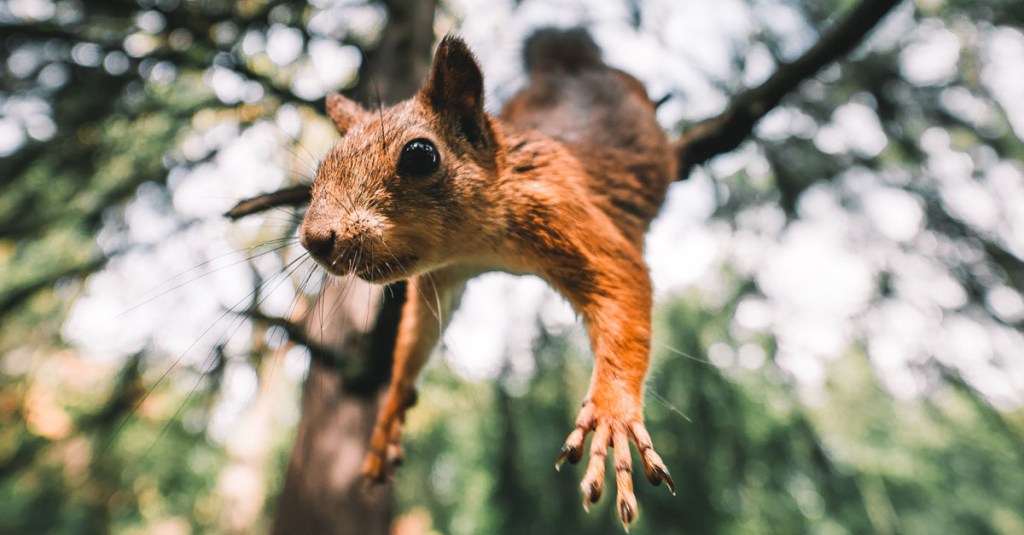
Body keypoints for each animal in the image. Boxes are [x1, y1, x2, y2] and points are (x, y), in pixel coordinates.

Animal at [299, 28, 675, 524]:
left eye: (420, 155)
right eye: (322, 167)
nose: (314, 239)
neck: (476, 244)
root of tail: (569, 62)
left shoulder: (565, 213)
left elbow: (622, 280)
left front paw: (612, 414)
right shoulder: (442, 276)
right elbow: (418, 334)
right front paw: (392, 407)